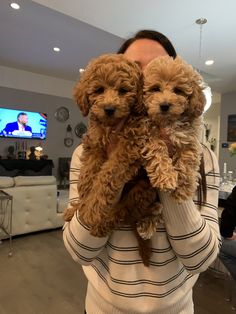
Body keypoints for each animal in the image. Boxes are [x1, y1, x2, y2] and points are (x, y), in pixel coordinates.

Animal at [143, 55, 206, 200]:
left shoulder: (190, 140)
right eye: (155, 89)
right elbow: (157, 152)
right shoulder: (149, 135)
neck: (168, 121)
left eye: (178, 90)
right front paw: (166, 178)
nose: (164, 105)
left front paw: (182, 189)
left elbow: (186, 162)